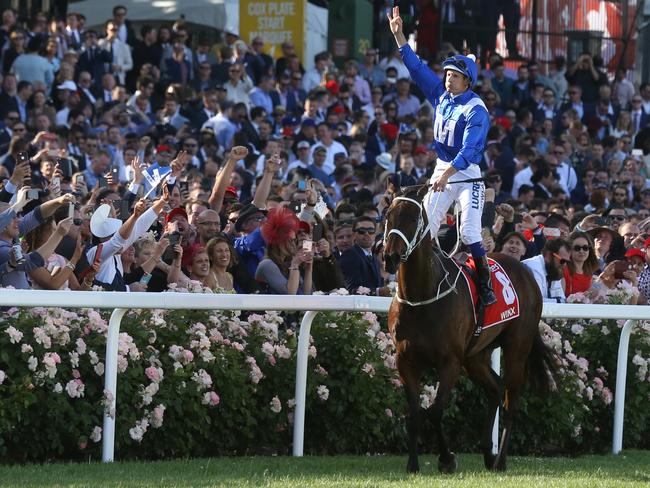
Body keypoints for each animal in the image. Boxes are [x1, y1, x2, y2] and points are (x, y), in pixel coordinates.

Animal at [382, 186, 556, 472]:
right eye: (388, 215)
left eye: (413, 218)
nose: (390, 257)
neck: (422, 296)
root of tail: (525, 270)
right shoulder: (405, 361)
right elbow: (416, 414)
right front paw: (413, 465)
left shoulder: (449, 361)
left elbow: (435, 411)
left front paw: (447, 459)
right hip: (475, 356)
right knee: (495, 389)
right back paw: (487, 452)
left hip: (516, 348)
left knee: (510, 400)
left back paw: (500, 460)